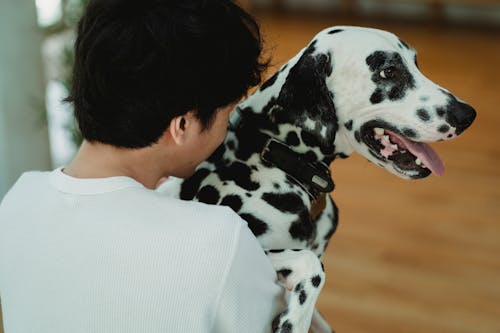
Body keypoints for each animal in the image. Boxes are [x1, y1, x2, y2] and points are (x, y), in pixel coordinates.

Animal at [158, 26, 474, 332]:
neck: (276, 154)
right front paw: (293, 321)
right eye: (389, 71)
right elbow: (311, 266)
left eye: (415, 64)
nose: (468, 114)